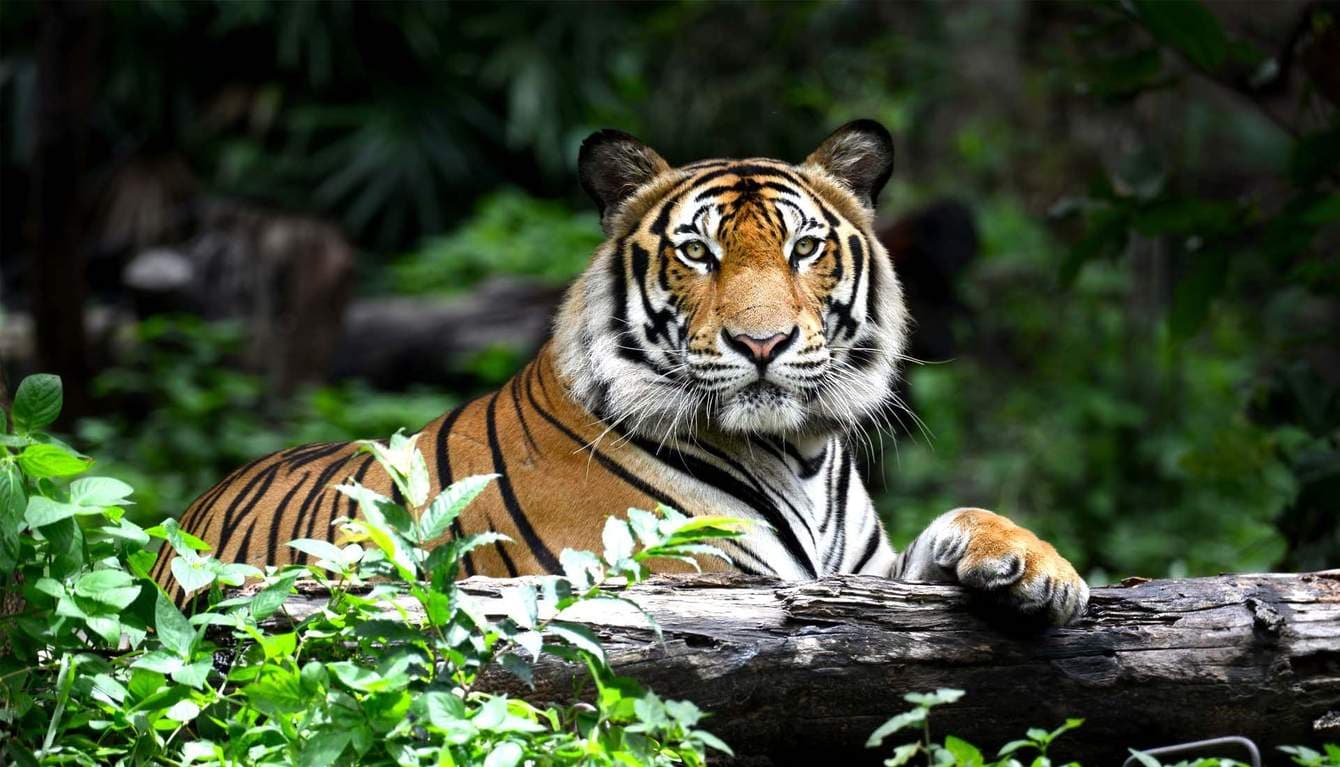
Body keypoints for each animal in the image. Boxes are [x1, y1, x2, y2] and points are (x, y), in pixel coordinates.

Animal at [152, 120, 1089, 625]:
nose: (762, 343)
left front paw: (1039, 568)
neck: (799, 452)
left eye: (803, 248)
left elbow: (960, 520)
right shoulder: (691, 580)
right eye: (698, 252)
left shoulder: (865, 575)